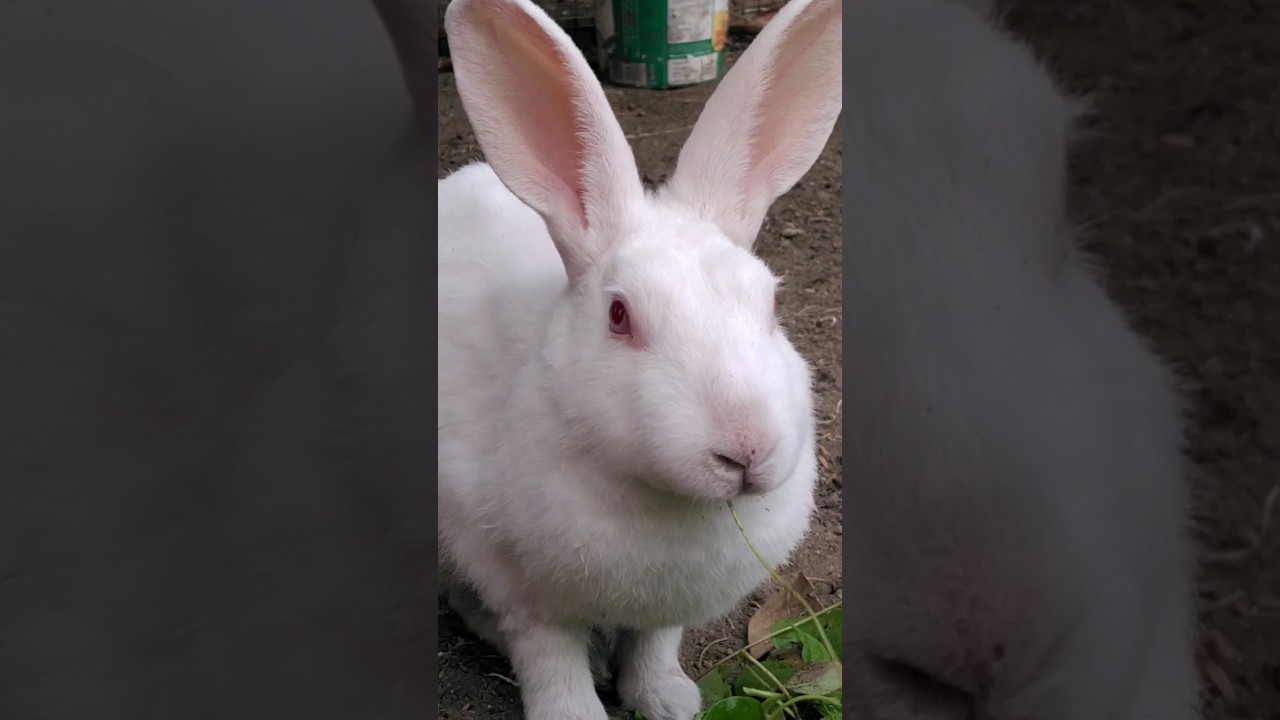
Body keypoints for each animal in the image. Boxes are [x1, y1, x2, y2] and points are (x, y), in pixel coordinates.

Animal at [436, 0, 841, 717]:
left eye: (770, 301)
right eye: (620, 315)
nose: (746, 451)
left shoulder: (666, 609)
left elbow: (654, 643)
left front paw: (670, 700)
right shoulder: (520, 588)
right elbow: (548, 656)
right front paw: (573, 711)